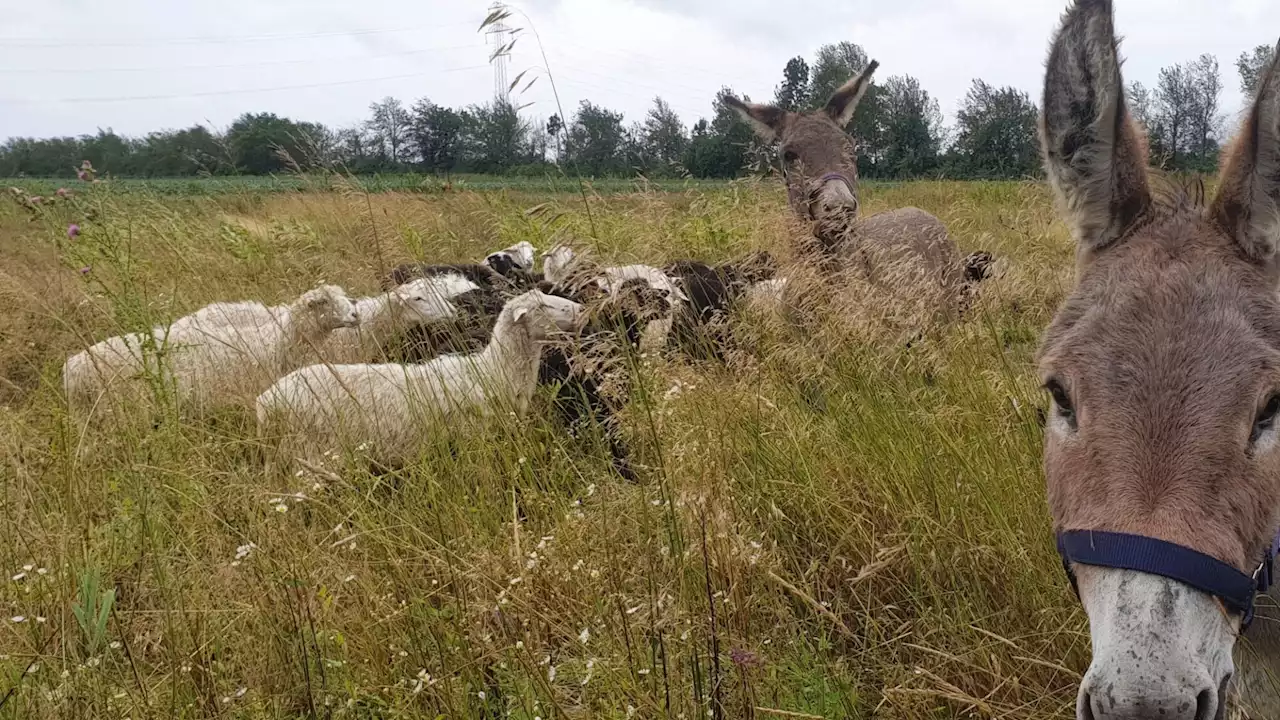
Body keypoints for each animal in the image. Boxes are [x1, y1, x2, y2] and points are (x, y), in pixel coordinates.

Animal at [257, 288, 586, 468]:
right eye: (542, 306)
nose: (583, 310)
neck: (493, 370)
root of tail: (266, 401)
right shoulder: (472, 441)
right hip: (310, 453)